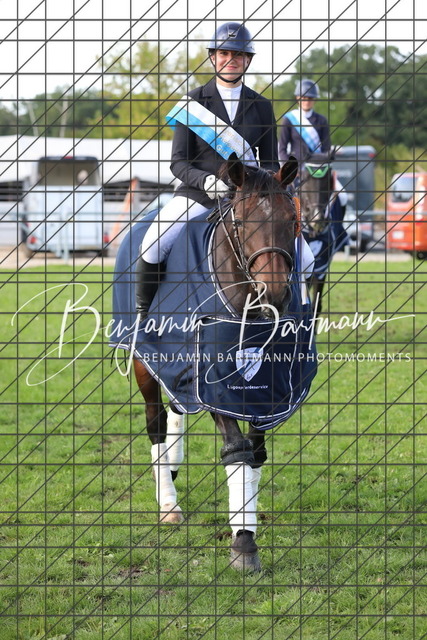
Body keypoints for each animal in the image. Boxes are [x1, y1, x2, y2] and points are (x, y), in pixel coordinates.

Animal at [111, 155, 317, 572]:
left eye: (293, 219)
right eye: (240, 221)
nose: (274, 293)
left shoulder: (268, 384)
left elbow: (255, 452)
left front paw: (246, 524)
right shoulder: (213, 380)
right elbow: (236, 448)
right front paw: (244, 544)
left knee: (177, 408)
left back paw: (173, 468)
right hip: (144, 361)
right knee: (156, 421)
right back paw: (168, 500)